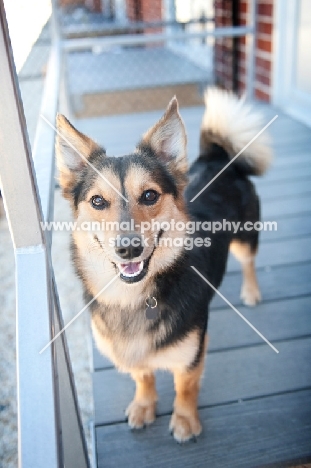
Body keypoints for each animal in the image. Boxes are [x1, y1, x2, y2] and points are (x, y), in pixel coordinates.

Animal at [56, 88, 272, 442]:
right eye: (98, 201)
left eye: (149, 195)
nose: (128, 249)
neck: (132, 297)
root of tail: (219, 158)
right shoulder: (135, 357)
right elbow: (144, 377)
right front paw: (144, 406)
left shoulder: (192, 353)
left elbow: (185, 389)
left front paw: (185, 421)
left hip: (245, 237)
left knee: (249, 262)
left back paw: (251, 292)